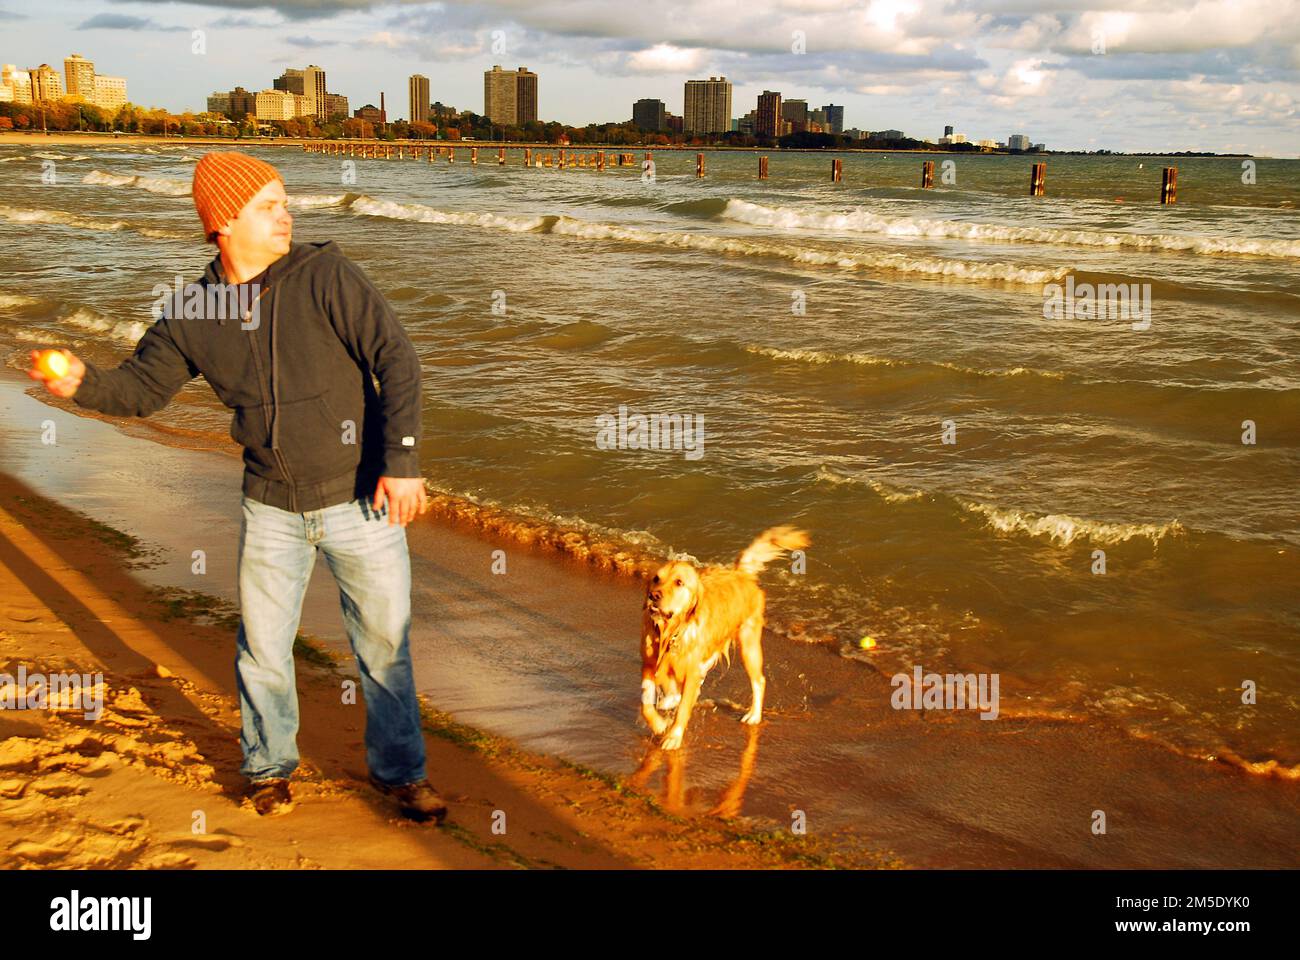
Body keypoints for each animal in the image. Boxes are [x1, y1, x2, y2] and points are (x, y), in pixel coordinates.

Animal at [637, 522, 806, 749]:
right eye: (656, 579)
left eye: (679, 582)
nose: (653, 596)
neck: (671, 631)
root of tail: (740, 572)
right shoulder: (649, 663)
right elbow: (647, 703)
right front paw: (660, 724)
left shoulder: (690, 671)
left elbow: (682, 707)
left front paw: (673, 736)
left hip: (748, 644)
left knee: (759, 680)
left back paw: (754, 715)